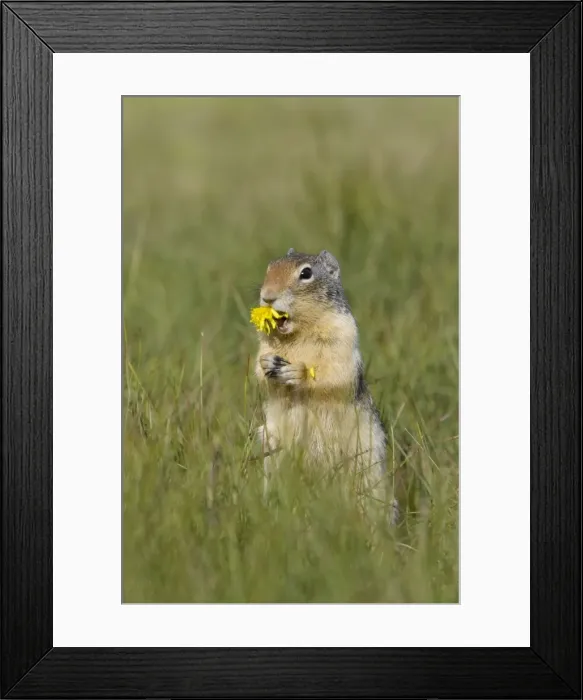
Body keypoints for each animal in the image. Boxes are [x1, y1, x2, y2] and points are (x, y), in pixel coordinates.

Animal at [254, 248, 389, 511]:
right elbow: (259, 371)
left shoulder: (342, 337)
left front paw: (298, 372)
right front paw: (267, 363)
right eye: (269, 267)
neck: (298, 333)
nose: (267, 296)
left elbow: (333, 372)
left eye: (306, 273)